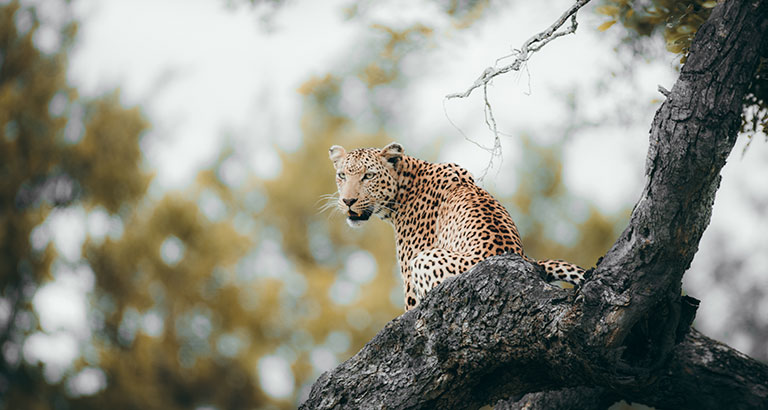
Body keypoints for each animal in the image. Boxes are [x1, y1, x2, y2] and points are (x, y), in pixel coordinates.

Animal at [328, 142, 584, 310]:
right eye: (341, 176)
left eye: (368, 176)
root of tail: (527, 260)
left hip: (424, 260)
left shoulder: (411, 286)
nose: (347, 201)